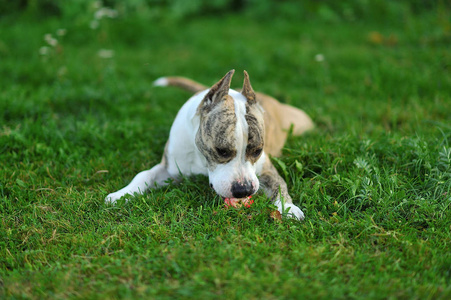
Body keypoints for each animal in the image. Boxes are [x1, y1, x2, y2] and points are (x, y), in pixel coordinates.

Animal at [105, 70, 314, 220]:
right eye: (221, 151)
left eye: (257, 151)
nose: (243, 190)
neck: (202, 160)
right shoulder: (170, 169)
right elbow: (144, 175)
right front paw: (122, 194)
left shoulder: (266, 168)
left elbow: (279, 184)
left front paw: (289, 207)